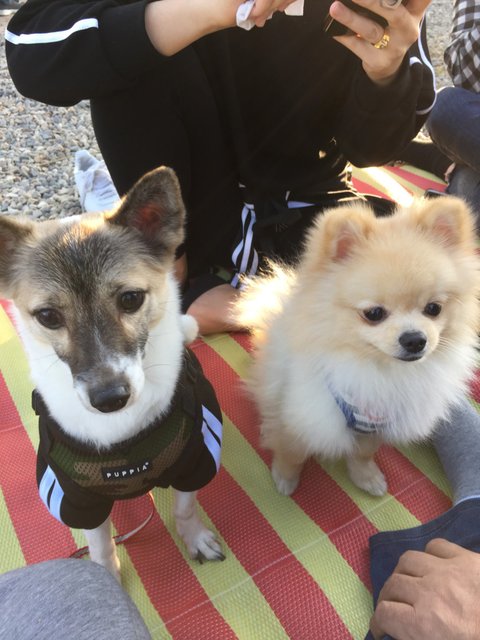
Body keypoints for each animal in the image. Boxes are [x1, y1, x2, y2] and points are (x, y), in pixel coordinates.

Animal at [0, 167, 224, 580]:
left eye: (131, 298)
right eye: (48, 316)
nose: (110, 399)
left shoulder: (197, 457)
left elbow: (185, 507)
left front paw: (195, 537)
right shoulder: (77, 498)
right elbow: (101, 544)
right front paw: (106, 575)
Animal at [235, 196, 480, 497]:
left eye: (434, 308)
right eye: (374, 314)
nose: (414, 339)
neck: (380, 370)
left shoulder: (375, 427)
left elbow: (364, 453)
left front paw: (365, 476)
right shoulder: (306, 411)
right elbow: (293, 449)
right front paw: (285, 477)